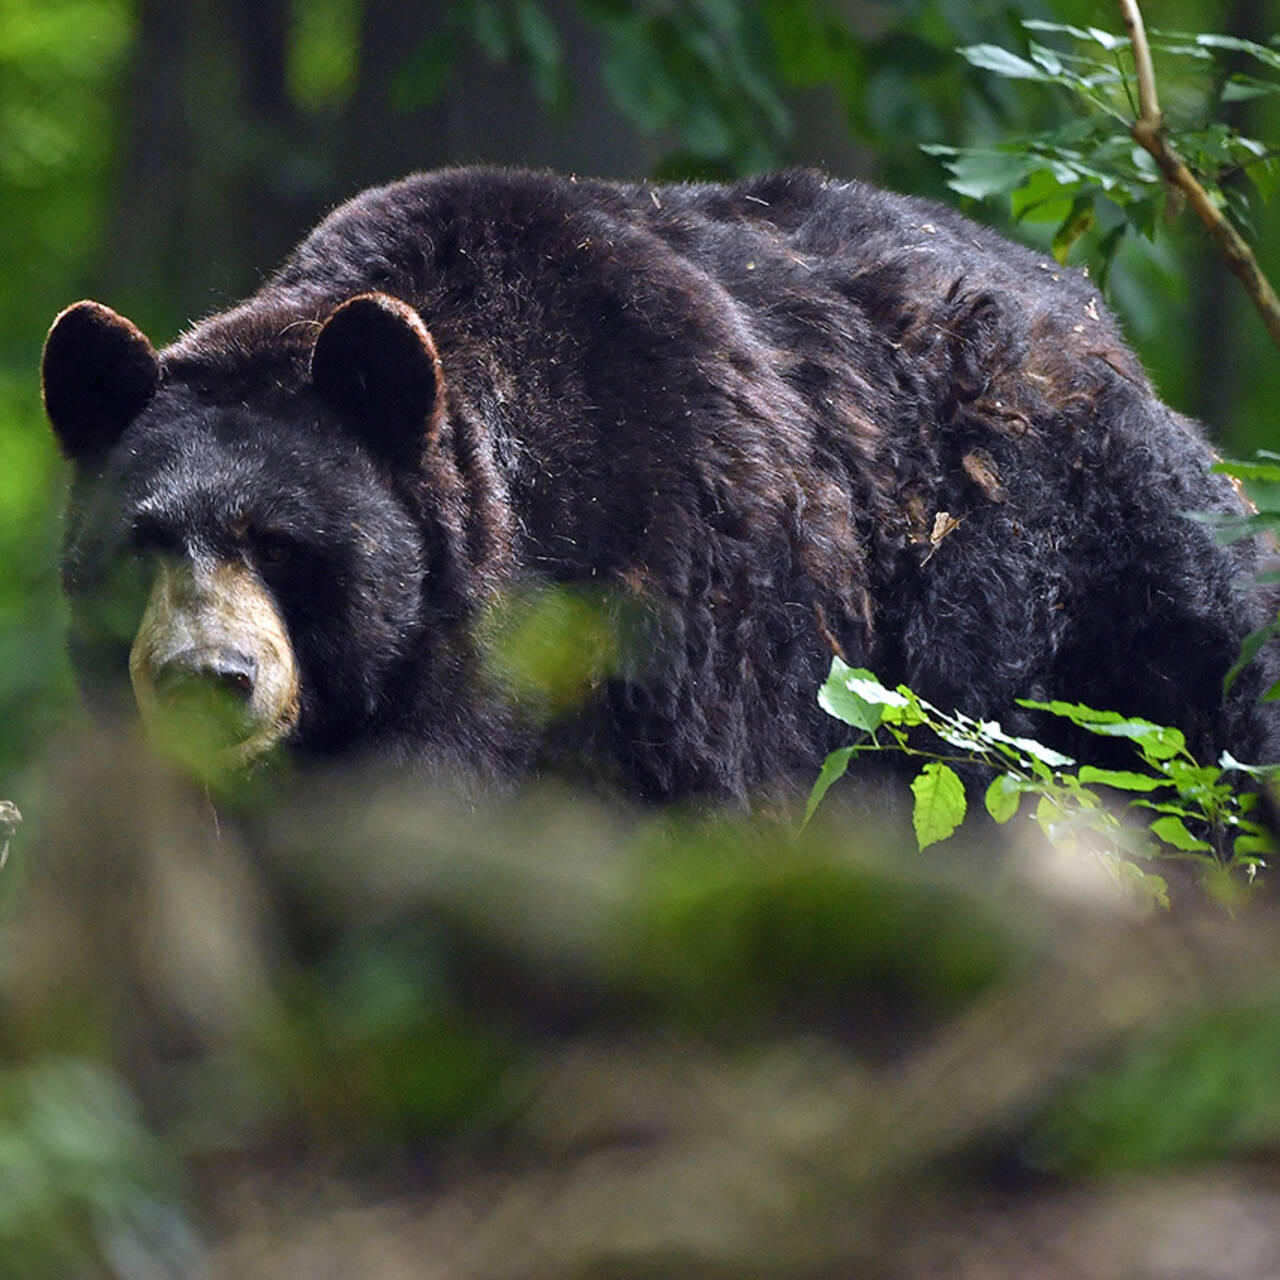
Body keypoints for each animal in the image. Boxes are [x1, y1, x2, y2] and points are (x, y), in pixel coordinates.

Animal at [40, 165, 1280, 793]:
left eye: (285, 542)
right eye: (142, 541)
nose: (210, 676)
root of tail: (1097, 325)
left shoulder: (693, 590)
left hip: (1091, 582)